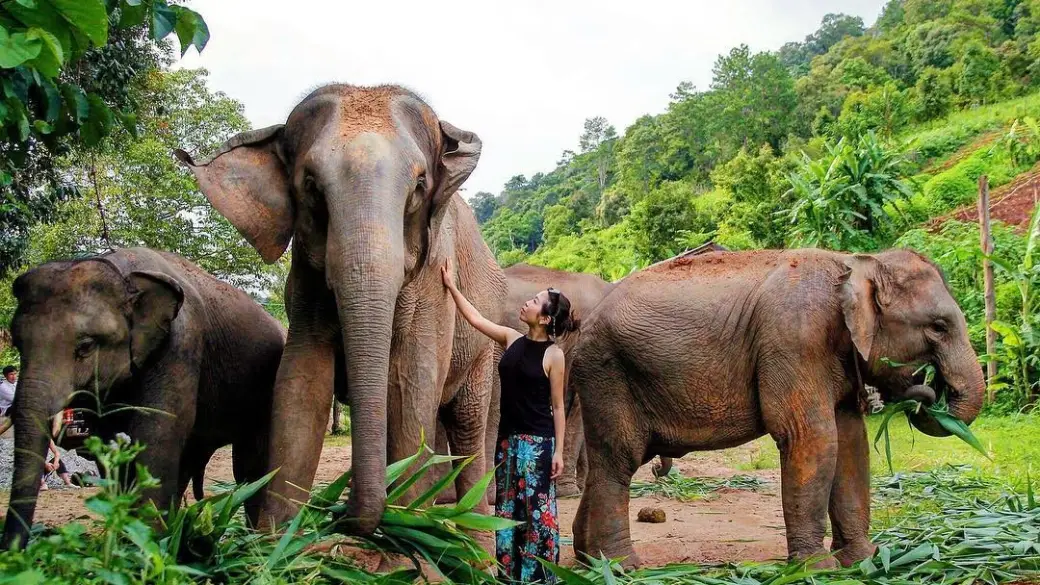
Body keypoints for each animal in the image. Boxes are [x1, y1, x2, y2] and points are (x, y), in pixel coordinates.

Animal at [1, 247, 285, 549]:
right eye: (17, 344)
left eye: (86, 346)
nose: (13, 551)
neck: (122, 271)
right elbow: (109, 440)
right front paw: (129, 535)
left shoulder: (181, 343)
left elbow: (157, 432)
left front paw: (145, 545)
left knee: (248, 467)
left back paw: (256, 542)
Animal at [175, 84, 507, 532]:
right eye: (312, 186)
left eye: (420, 185)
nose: (341, 513)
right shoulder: (305, 285)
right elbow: (300, 389)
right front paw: (276, 539)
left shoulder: (435, 282)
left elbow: (410, 389)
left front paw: (406, 527)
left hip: (484, 349)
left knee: (468, 425)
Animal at [569, 248, 985, 568]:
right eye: (938, 327)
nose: (927, 391)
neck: (856, 264)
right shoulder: (796, 339)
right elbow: (811, 438)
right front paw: (815, 568)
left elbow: (851, 443)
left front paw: (863, 560)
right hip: (608, 373)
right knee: (618, 460)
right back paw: (622, 567)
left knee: (610, 462)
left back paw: (589, 561)